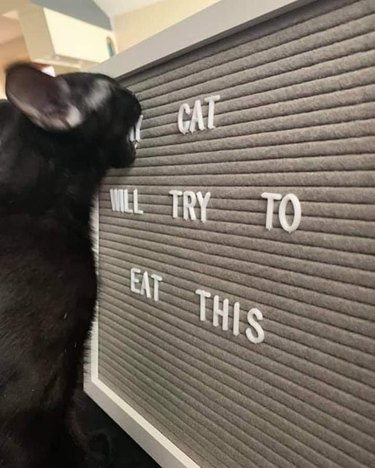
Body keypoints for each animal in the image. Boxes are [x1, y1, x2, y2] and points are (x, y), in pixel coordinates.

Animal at [0, 64, 141, 466]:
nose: (134, 94)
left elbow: (71, 416)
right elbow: (66, 424)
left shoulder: (68, 370)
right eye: (112, 90)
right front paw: (94, 453)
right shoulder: (34, 395)